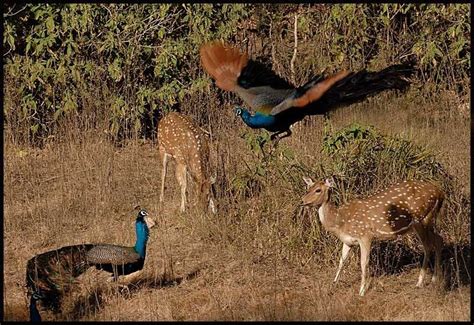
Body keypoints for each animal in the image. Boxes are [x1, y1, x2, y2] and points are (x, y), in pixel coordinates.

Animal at [302, 177, 442, 296]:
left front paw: (361, 292)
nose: (302, 200)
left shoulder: (365, 235)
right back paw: (434, 278)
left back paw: (420, 282)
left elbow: (363, 263)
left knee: (428, 246)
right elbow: (341, 261)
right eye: (308, 187)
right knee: (438, 241)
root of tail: (440, 193)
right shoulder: (347, 241)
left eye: (318, 190)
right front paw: (333, 285)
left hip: (422, 219)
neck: (340, 221)